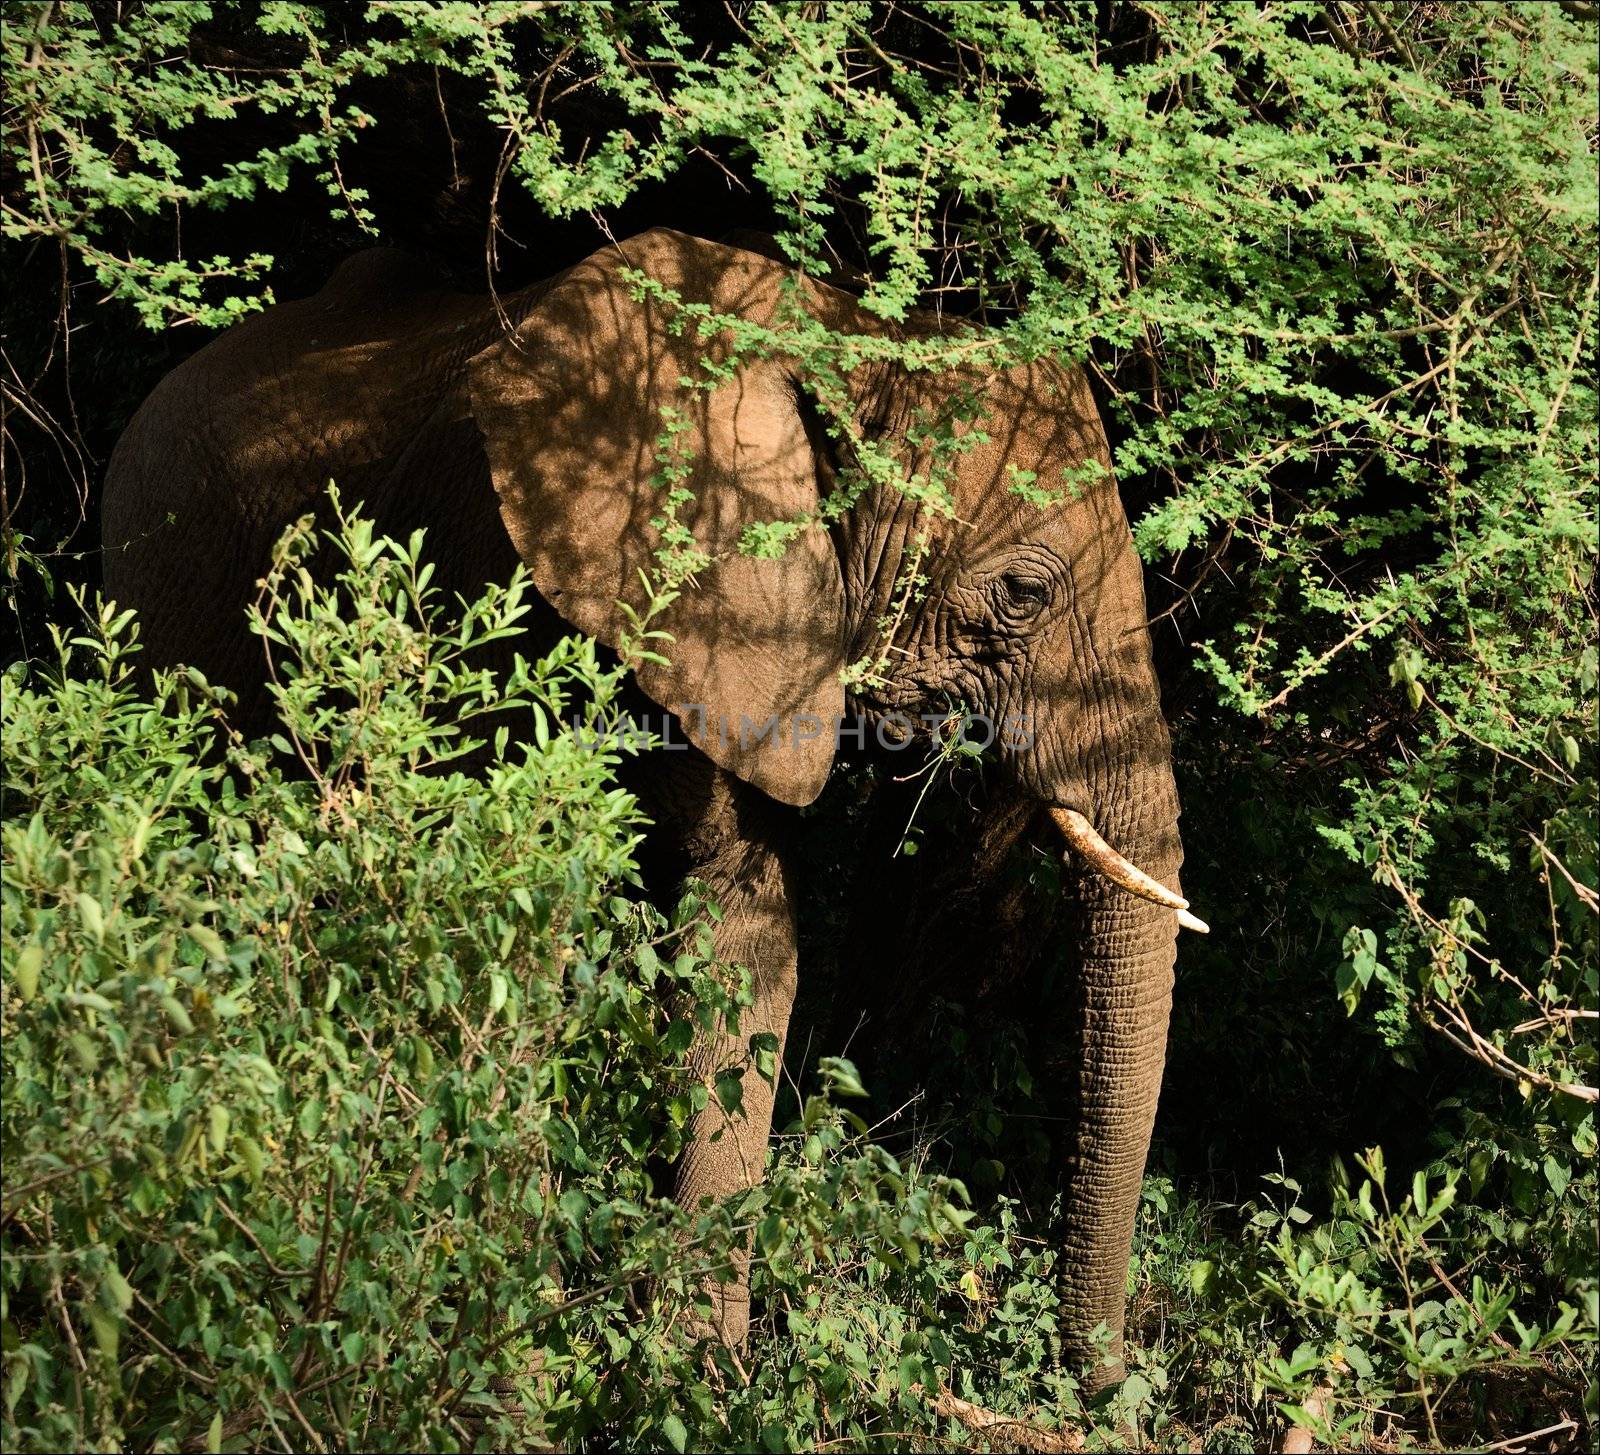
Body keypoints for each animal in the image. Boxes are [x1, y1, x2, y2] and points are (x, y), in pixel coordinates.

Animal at [103, 227, 1203, 1382]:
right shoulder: (502, 578)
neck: (843, 337)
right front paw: (522, 1366)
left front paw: (691, 1377)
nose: (1107, 1379)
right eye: (1024, 593)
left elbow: (744, 933)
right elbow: (512, 929)